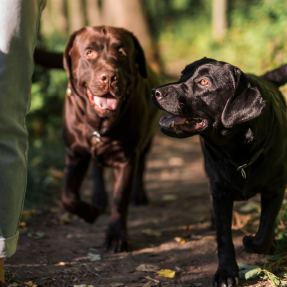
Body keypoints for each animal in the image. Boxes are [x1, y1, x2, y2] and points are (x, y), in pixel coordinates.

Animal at [62, 26, 161, 252]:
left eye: (122, 53)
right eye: (89, 53)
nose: (109, 77)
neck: (99, 124)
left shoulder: (126, 158)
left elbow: (120, 198)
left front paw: (117, 236)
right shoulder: (75, 153)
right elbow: (68, 197)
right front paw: (90, 213)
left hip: (146, 142)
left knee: (142, 166)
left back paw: (139, 195)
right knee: (97, 168)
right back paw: (98, 198)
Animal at [153, 57, 287, 286]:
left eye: (204, 82)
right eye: (182, 74)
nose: (155, 91)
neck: (237, 153)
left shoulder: (275, 189)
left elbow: (264, 232)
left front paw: (254, 242)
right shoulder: (219, 191)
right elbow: (224, 237)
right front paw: (226, 272)